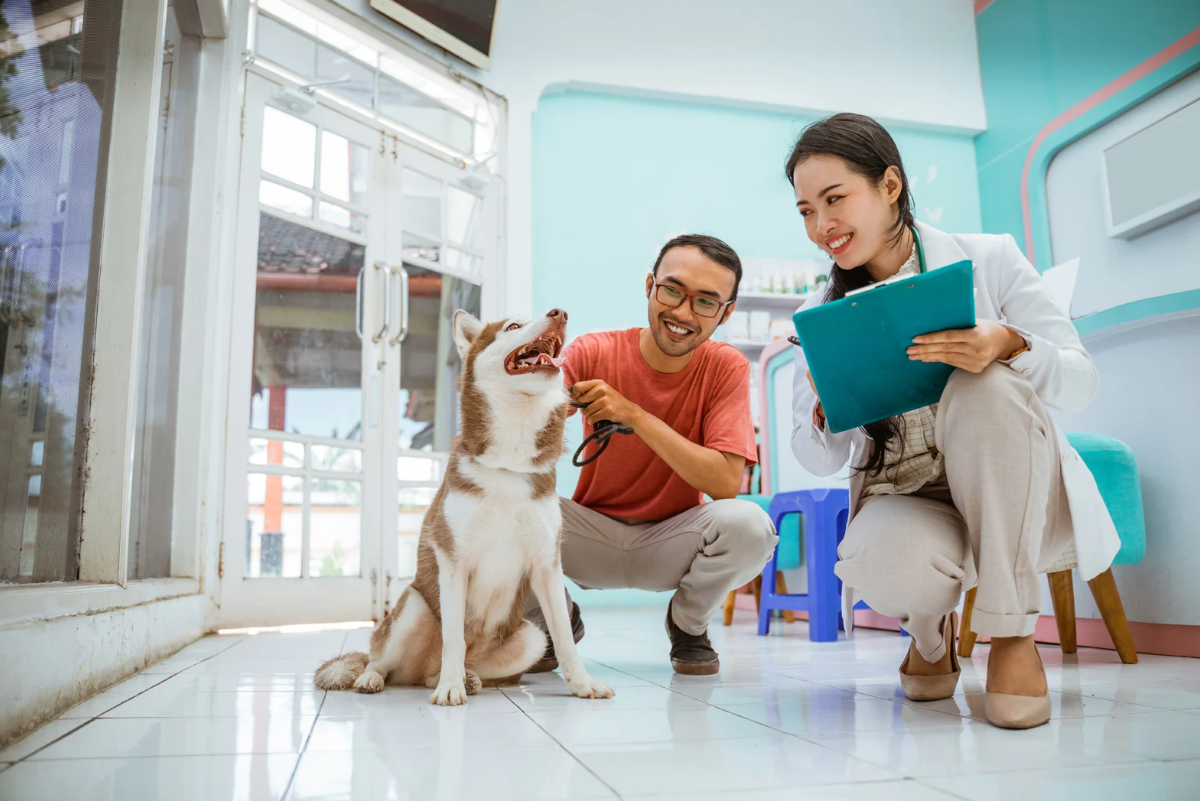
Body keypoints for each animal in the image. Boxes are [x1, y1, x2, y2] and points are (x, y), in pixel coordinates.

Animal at [314, 309, 614, 705]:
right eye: (513, 327)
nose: (559, 313)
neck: (509, 461)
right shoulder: (454, 561)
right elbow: (454, 637)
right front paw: (450, 687)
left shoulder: (547, 565)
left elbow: (565, 637)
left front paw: (582, 684)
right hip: (413, 605)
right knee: (381, 660)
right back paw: (380, 678)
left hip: (531, 637)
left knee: (449, 668)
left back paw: (466, 678)